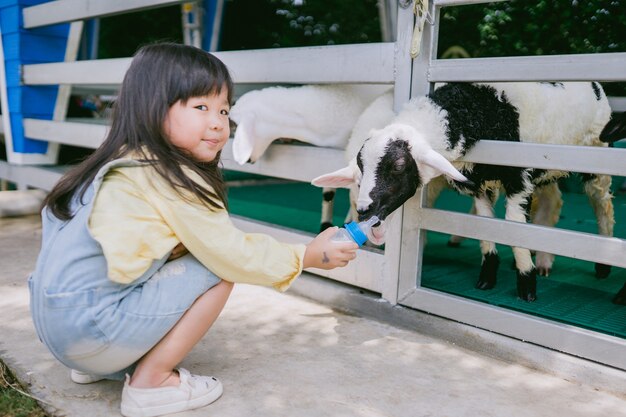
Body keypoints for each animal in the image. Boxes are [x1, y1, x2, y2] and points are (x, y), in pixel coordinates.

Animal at [312, 82, 616, 302]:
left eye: (398, 166)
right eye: (361, 165)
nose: (364, 210)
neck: (474, 109)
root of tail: (595, 86)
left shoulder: (518, 177)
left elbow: (513, 225)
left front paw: (527, 284)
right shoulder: (477, 182)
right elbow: (484, 225)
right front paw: (488, 276)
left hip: (596, 156)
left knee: (603, 205)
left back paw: (602, 263)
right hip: (548, 169)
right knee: (552, 203)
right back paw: (543, 260)